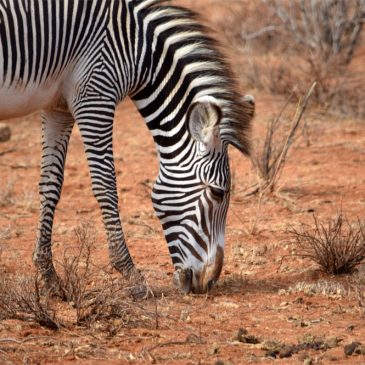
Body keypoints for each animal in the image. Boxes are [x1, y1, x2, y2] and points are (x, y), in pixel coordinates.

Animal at [0, 0, 253, 294]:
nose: (209, 282)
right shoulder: (95, 96)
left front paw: (48, 275)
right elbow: (105, 184)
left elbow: (51, 185)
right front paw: (131, 273)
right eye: (217, 193)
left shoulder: (57, 108)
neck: (138, 50)